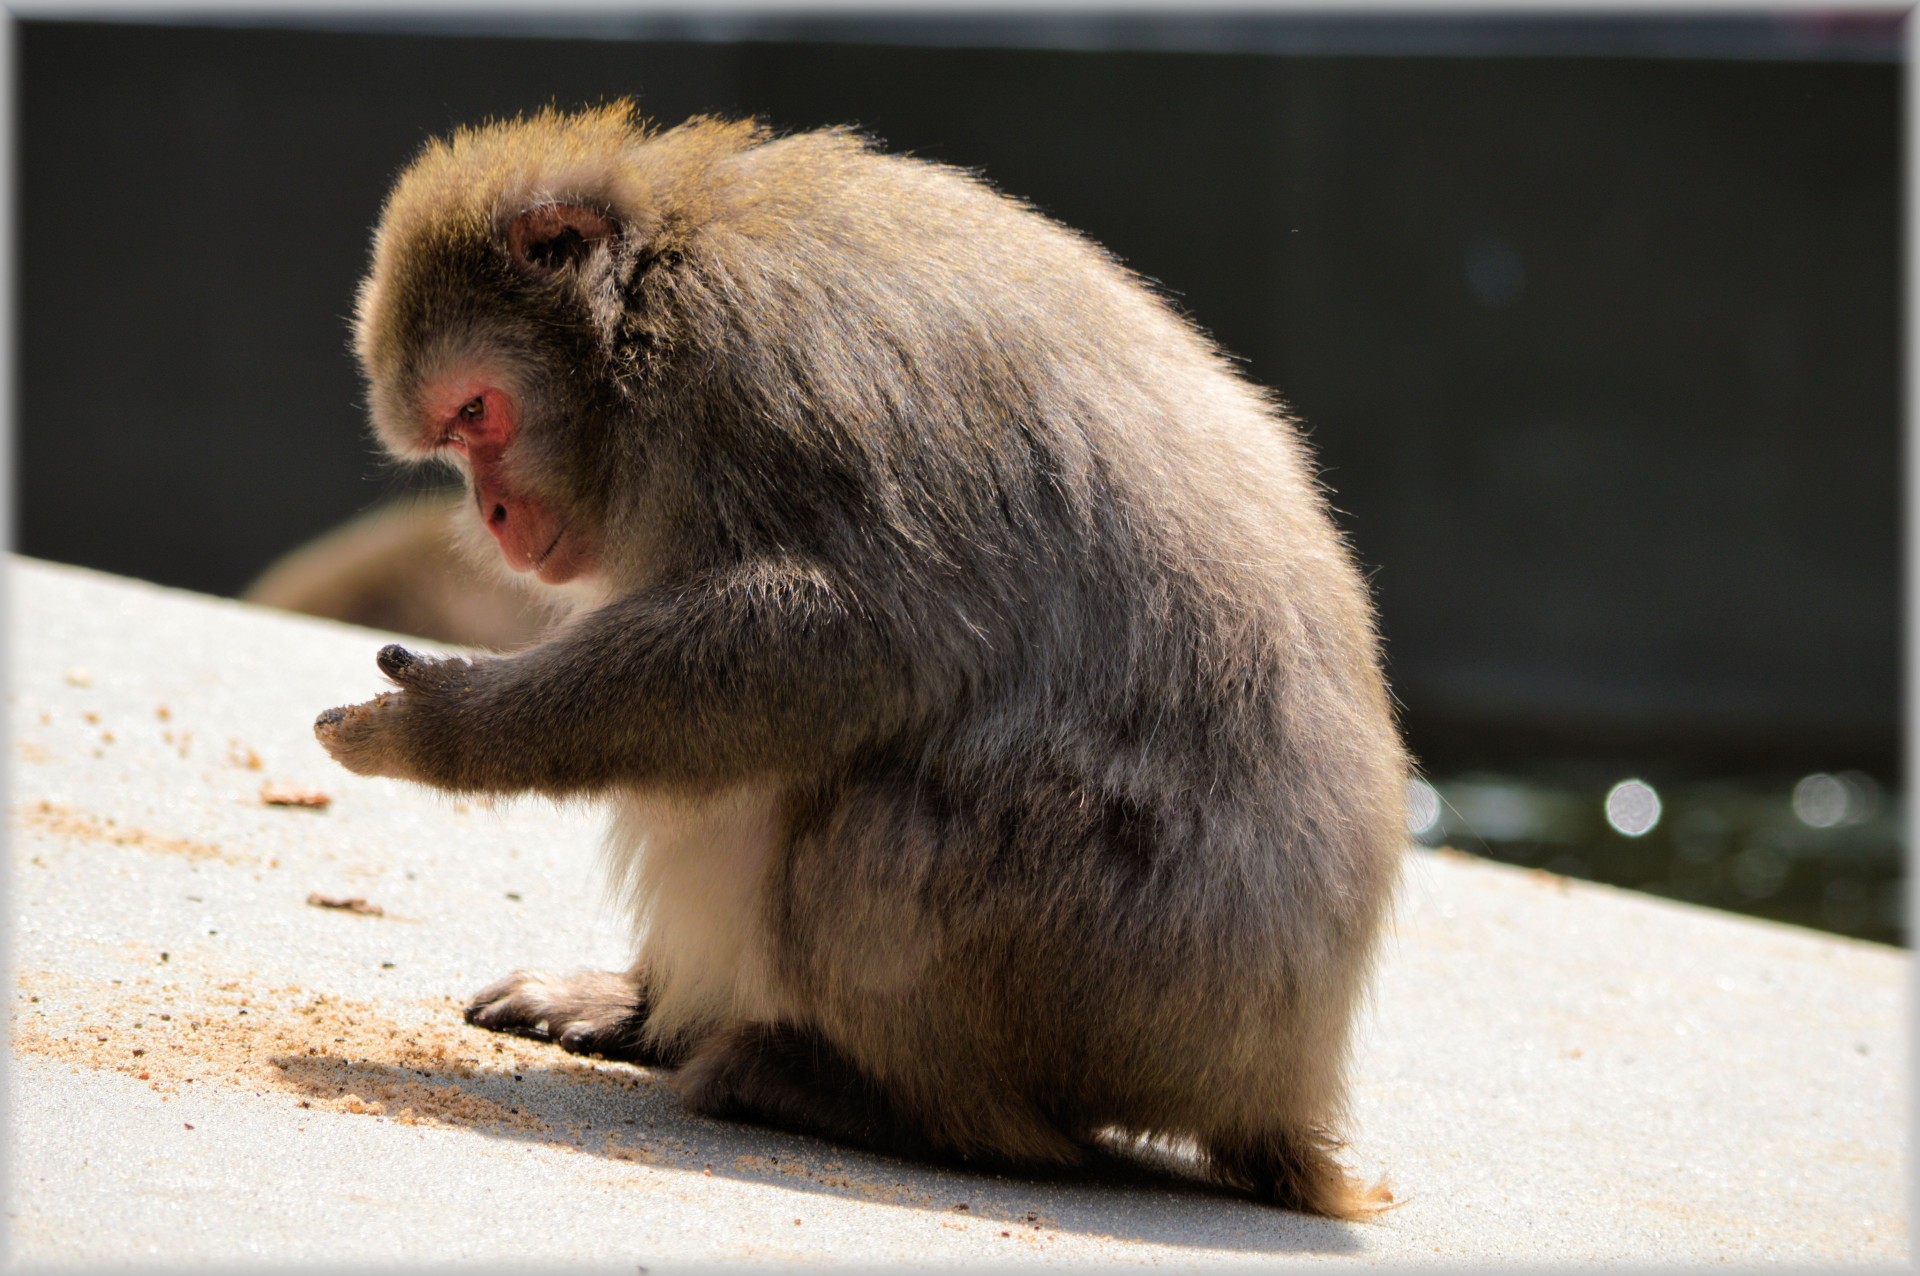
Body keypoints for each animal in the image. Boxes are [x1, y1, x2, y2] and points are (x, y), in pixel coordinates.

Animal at [314, 102, 1413, 1212]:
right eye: (456, 441)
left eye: (477, 413)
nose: (492, 515)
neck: (649, 299)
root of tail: (1277, 1085)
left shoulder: (746, 370)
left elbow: (859, 635)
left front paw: (446, 730)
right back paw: (653, 1013)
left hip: (1121, 977)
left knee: (877, 827)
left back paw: (888, 1103)